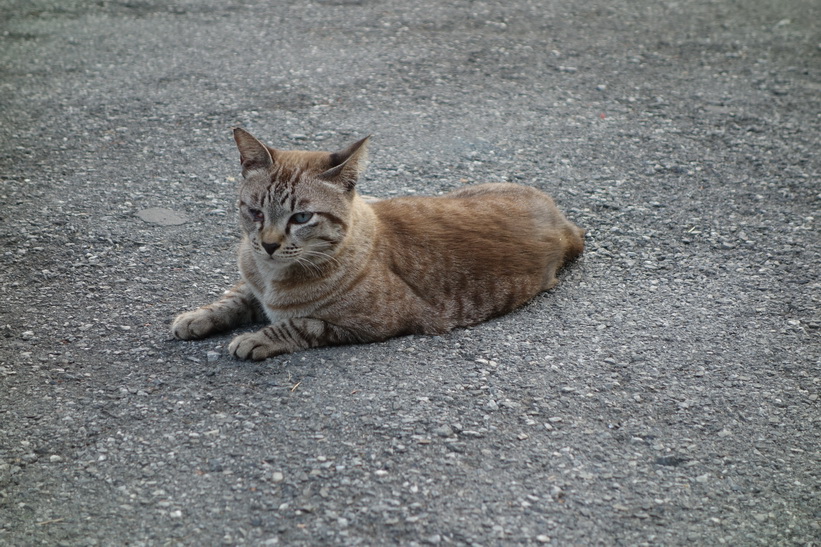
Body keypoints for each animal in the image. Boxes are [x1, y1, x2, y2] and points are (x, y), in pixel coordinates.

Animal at [171, 128, 584, 360]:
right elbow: (232, 298)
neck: (272, 275)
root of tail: (563, 220)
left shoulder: (373, 323)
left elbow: (299, 325)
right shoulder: (251, 281)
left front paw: (256, 338)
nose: (269, 244)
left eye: (301, 218)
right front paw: (197, 317)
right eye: (255, 212)